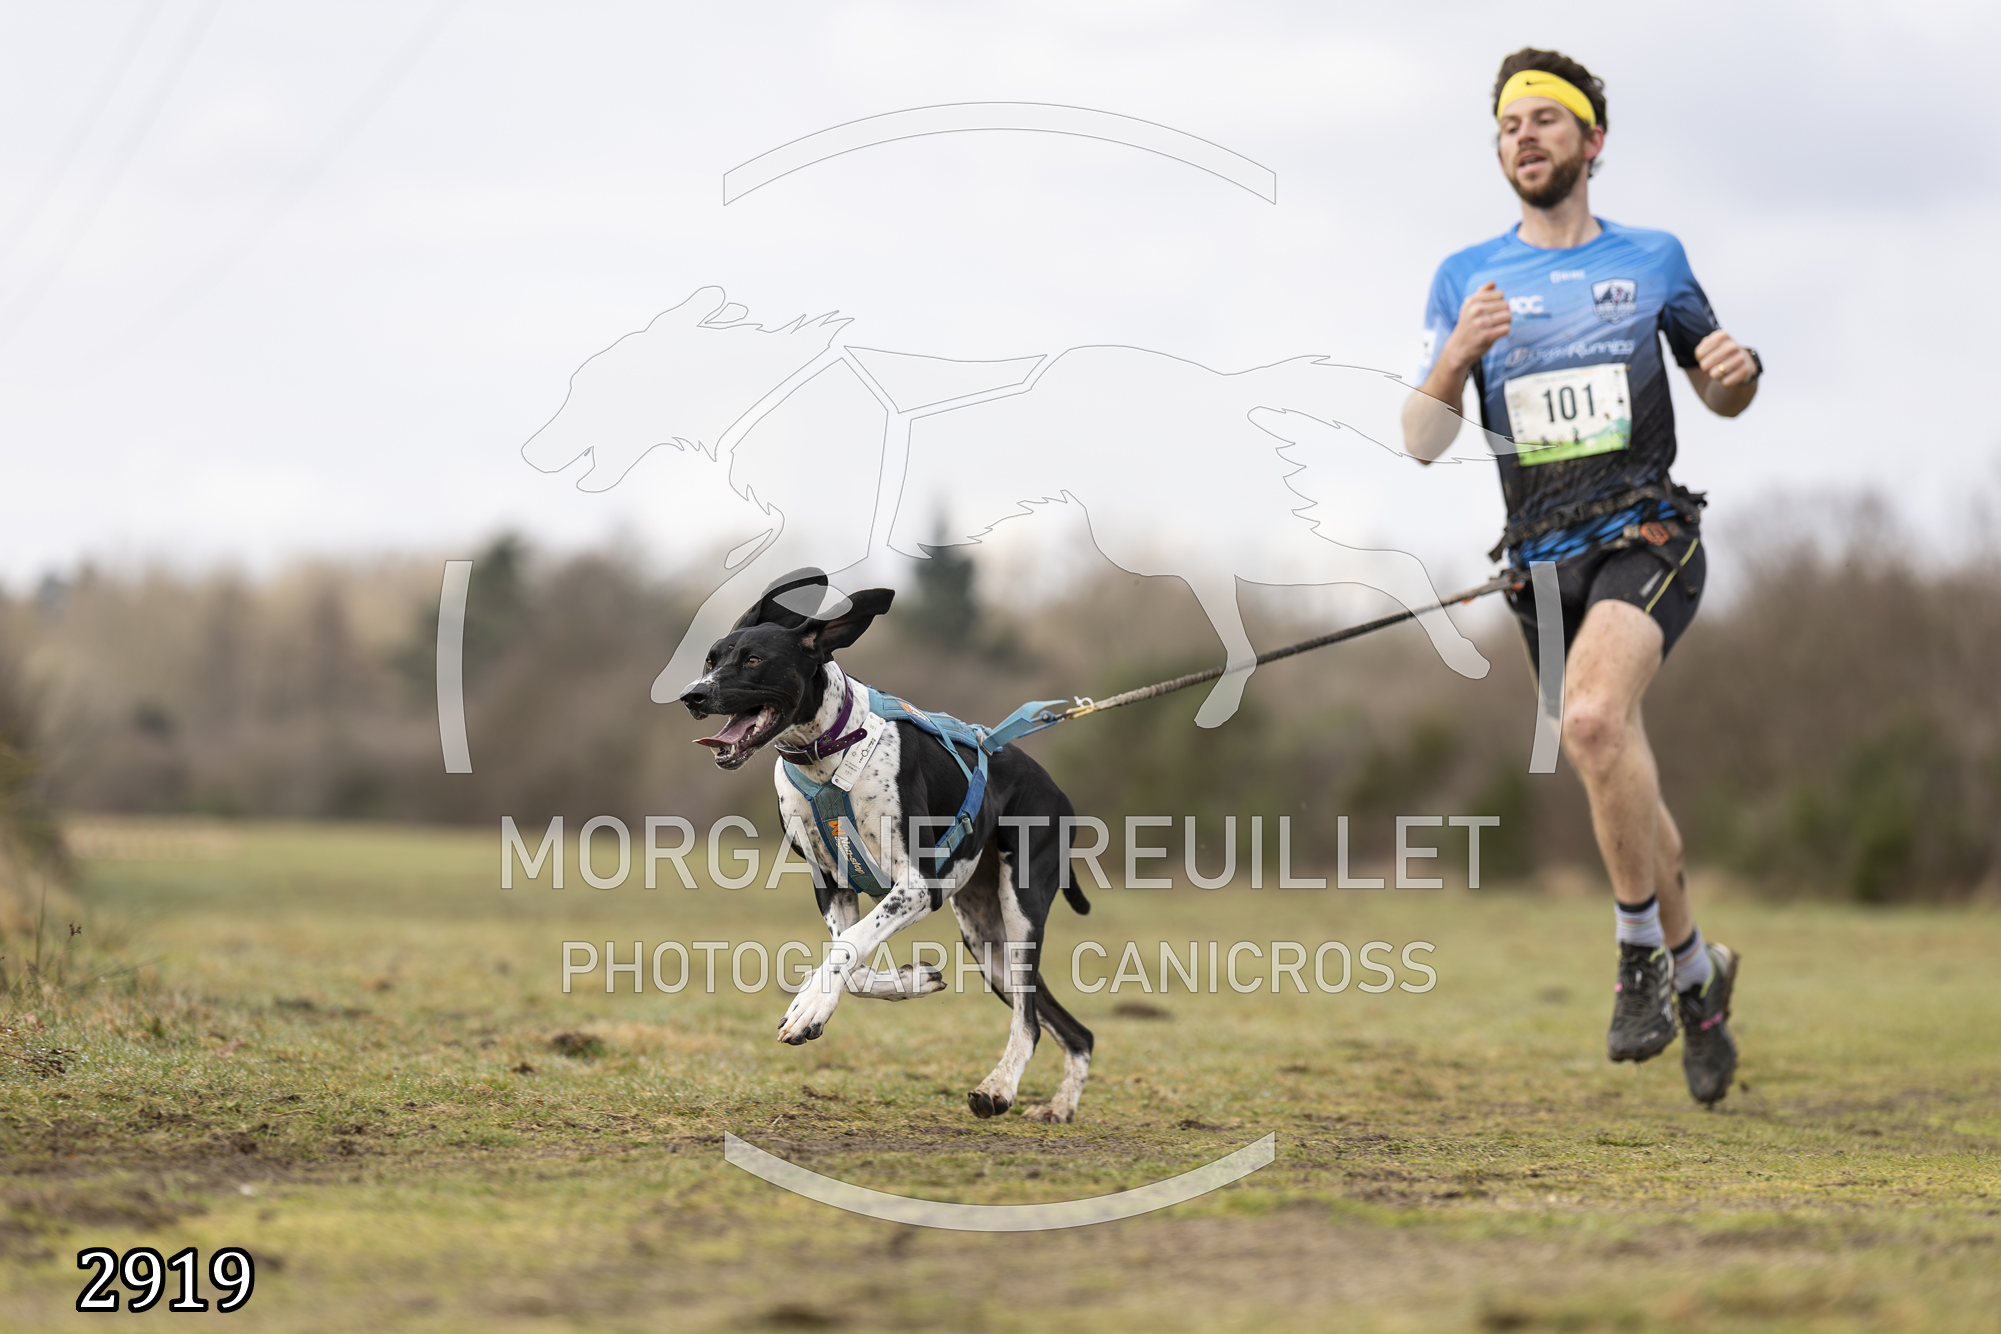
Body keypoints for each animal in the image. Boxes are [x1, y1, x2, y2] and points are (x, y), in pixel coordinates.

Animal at [677, 571, 1096, 1123]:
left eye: (753, 660)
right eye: (711, 659)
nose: (692, 696)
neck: (828, 751)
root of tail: (1055, 788)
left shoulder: (918, 887)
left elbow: (851, 944)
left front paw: (810, 1004)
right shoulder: (831, 884)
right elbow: (850, 958)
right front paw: (905, 982)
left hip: (1020, 908)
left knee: (1029, 1020)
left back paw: (1000, 1088)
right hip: (986, 940)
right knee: (1075, 1029)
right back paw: (1060, 1105)